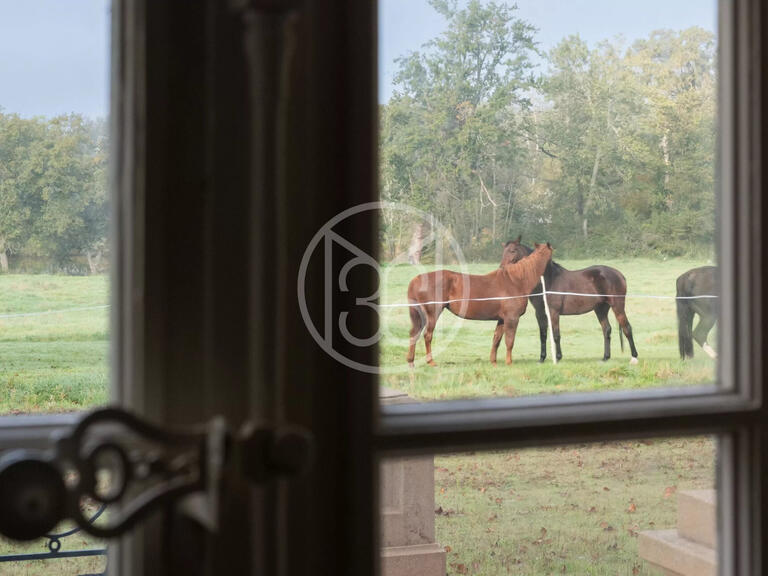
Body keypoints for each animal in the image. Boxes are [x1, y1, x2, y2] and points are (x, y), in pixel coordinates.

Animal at [408, 241, 552, 366]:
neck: (516, 281)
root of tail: (417, 279)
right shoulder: (512, 318)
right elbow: (509, 341)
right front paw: (509, 363)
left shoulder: (502, 319)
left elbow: (496, 339)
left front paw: (493, 362)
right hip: (433, 313)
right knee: (427, 335)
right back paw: (431, 362)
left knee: (414, 334)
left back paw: (411, 362)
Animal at [500, 238, 640, 364]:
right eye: (503, 251)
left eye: (512, 250)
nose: (502, 268)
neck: (548, 280)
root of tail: (620, 275)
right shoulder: (540, 313)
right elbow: (543, 335)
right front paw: (542, 358)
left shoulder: (553, 312)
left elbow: (556, 334)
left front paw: (558, 357)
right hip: (601, 309)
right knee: (607, 329)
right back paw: (605, 357)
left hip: (617, 306)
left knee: (627, 328)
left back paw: (634, 356)